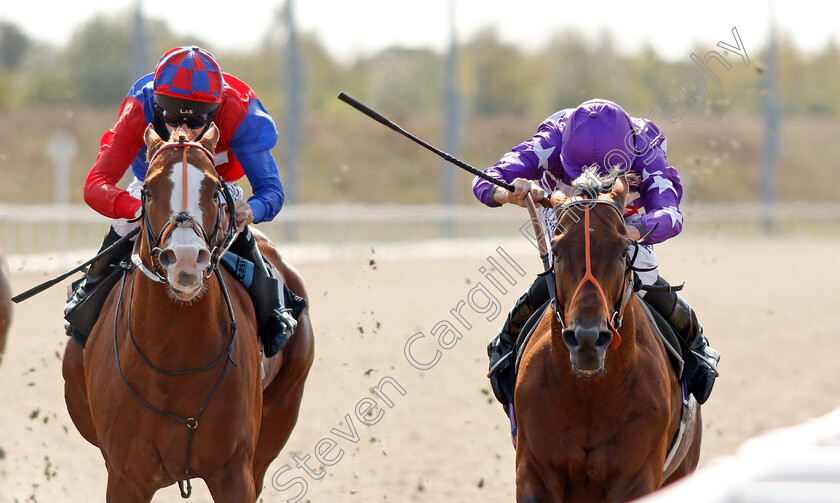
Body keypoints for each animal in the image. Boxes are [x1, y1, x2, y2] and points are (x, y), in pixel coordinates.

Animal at [60, 124, 314, 502]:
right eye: (148, 192)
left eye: (214, 190)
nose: (185, 260)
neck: (175, 361)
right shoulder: (125, 477)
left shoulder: (234, 471)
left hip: (282, 410)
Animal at [512, 172, 704, 503]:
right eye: (557, 251)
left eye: (624, 250)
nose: (588, 339)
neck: (590, 394)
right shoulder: (534, 472)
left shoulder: (635, 477)